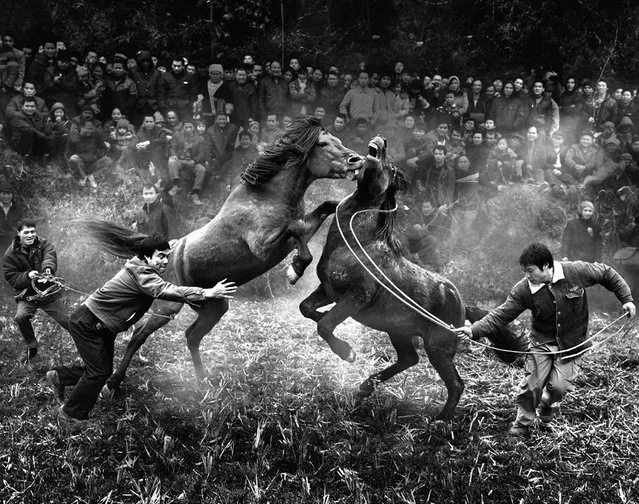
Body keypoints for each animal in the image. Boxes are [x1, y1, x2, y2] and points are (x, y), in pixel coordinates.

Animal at [97, 117, 362, 390]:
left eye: (339, 140)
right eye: (322, 144)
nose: (357, 160)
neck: (268, 196)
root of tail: (164, 254)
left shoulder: (297, 235)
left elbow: (326, 207)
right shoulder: (262, 246)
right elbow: (295, 229)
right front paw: (294, 270)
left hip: (213, 307)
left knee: (191, 335)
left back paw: (203, 381)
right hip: (167, 305)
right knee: (139, 333)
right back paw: (114, 382)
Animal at [298, 136, 520, 420]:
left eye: (391, 169)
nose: (382, 141)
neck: (357, 243)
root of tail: (460, 303)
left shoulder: (357, 296)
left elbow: (325, 326)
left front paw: (347, 353)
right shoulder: (327, 290)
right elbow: (307, 309)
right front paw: (329, 326)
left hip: (438, 346)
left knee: (455, 383)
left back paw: (440, 419)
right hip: (399, 331)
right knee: (409, 359)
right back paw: (365, 388)